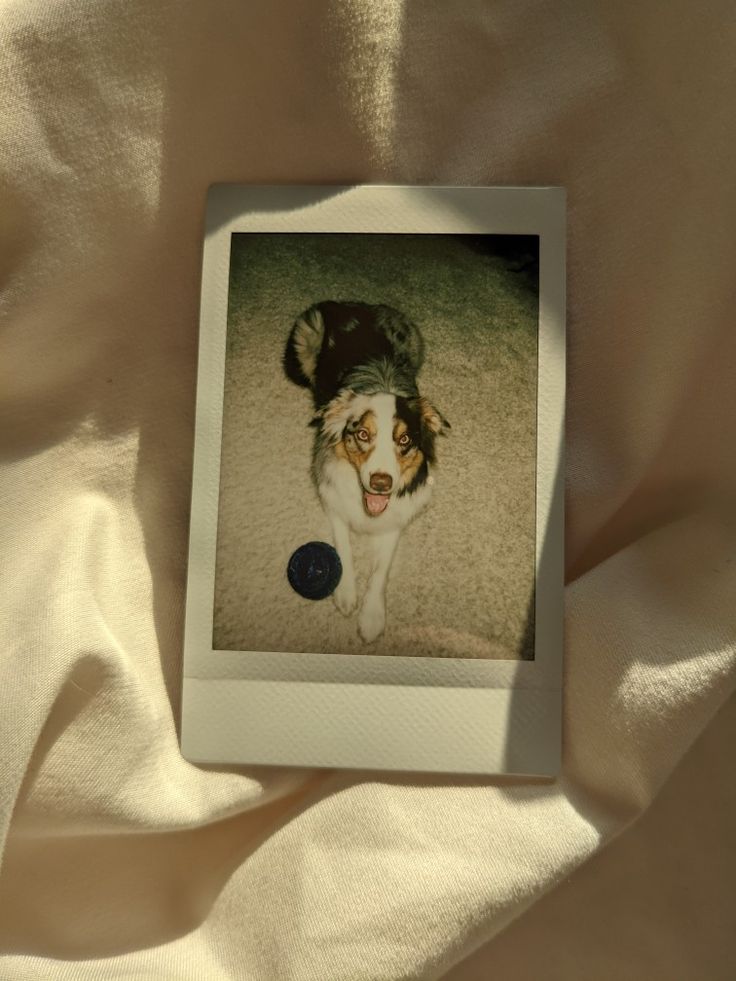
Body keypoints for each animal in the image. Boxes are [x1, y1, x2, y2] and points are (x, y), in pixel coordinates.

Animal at [284, 298, 448, 644]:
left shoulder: (396, 518)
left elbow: (381, 569)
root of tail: (353, 304)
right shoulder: (332, 498)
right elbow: (343, 546)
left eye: (404, 440)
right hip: (306, 336)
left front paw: (372, 616)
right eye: (362, 434)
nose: (382, 483)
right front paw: (346, 594)